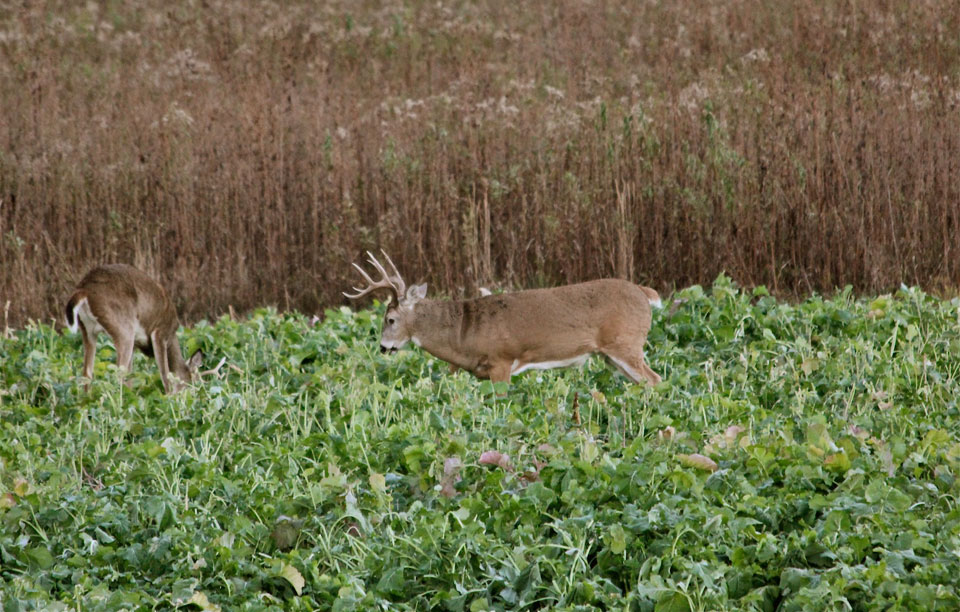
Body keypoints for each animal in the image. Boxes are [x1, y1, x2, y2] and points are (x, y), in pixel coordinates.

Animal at [63, 266, 202, 394]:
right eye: (192, 383)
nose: (194, 395)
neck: (172, 337)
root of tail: (85, 290)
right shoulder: (160, 333)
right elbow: (166, 375)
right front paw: (170, 398)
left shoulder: (136, 344)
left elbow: (130, 377)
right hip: (124, 329)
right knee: (118, 373)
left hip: (88, 330)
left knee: (87, 373)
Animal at [342, 251, 664, 384]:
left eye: (390, 320)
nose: (383, 347)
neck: (463, 332)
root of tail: (643, 292)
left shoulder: (502, 362)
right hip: (610, 355)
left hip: (626, 343)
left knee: (655, 379)